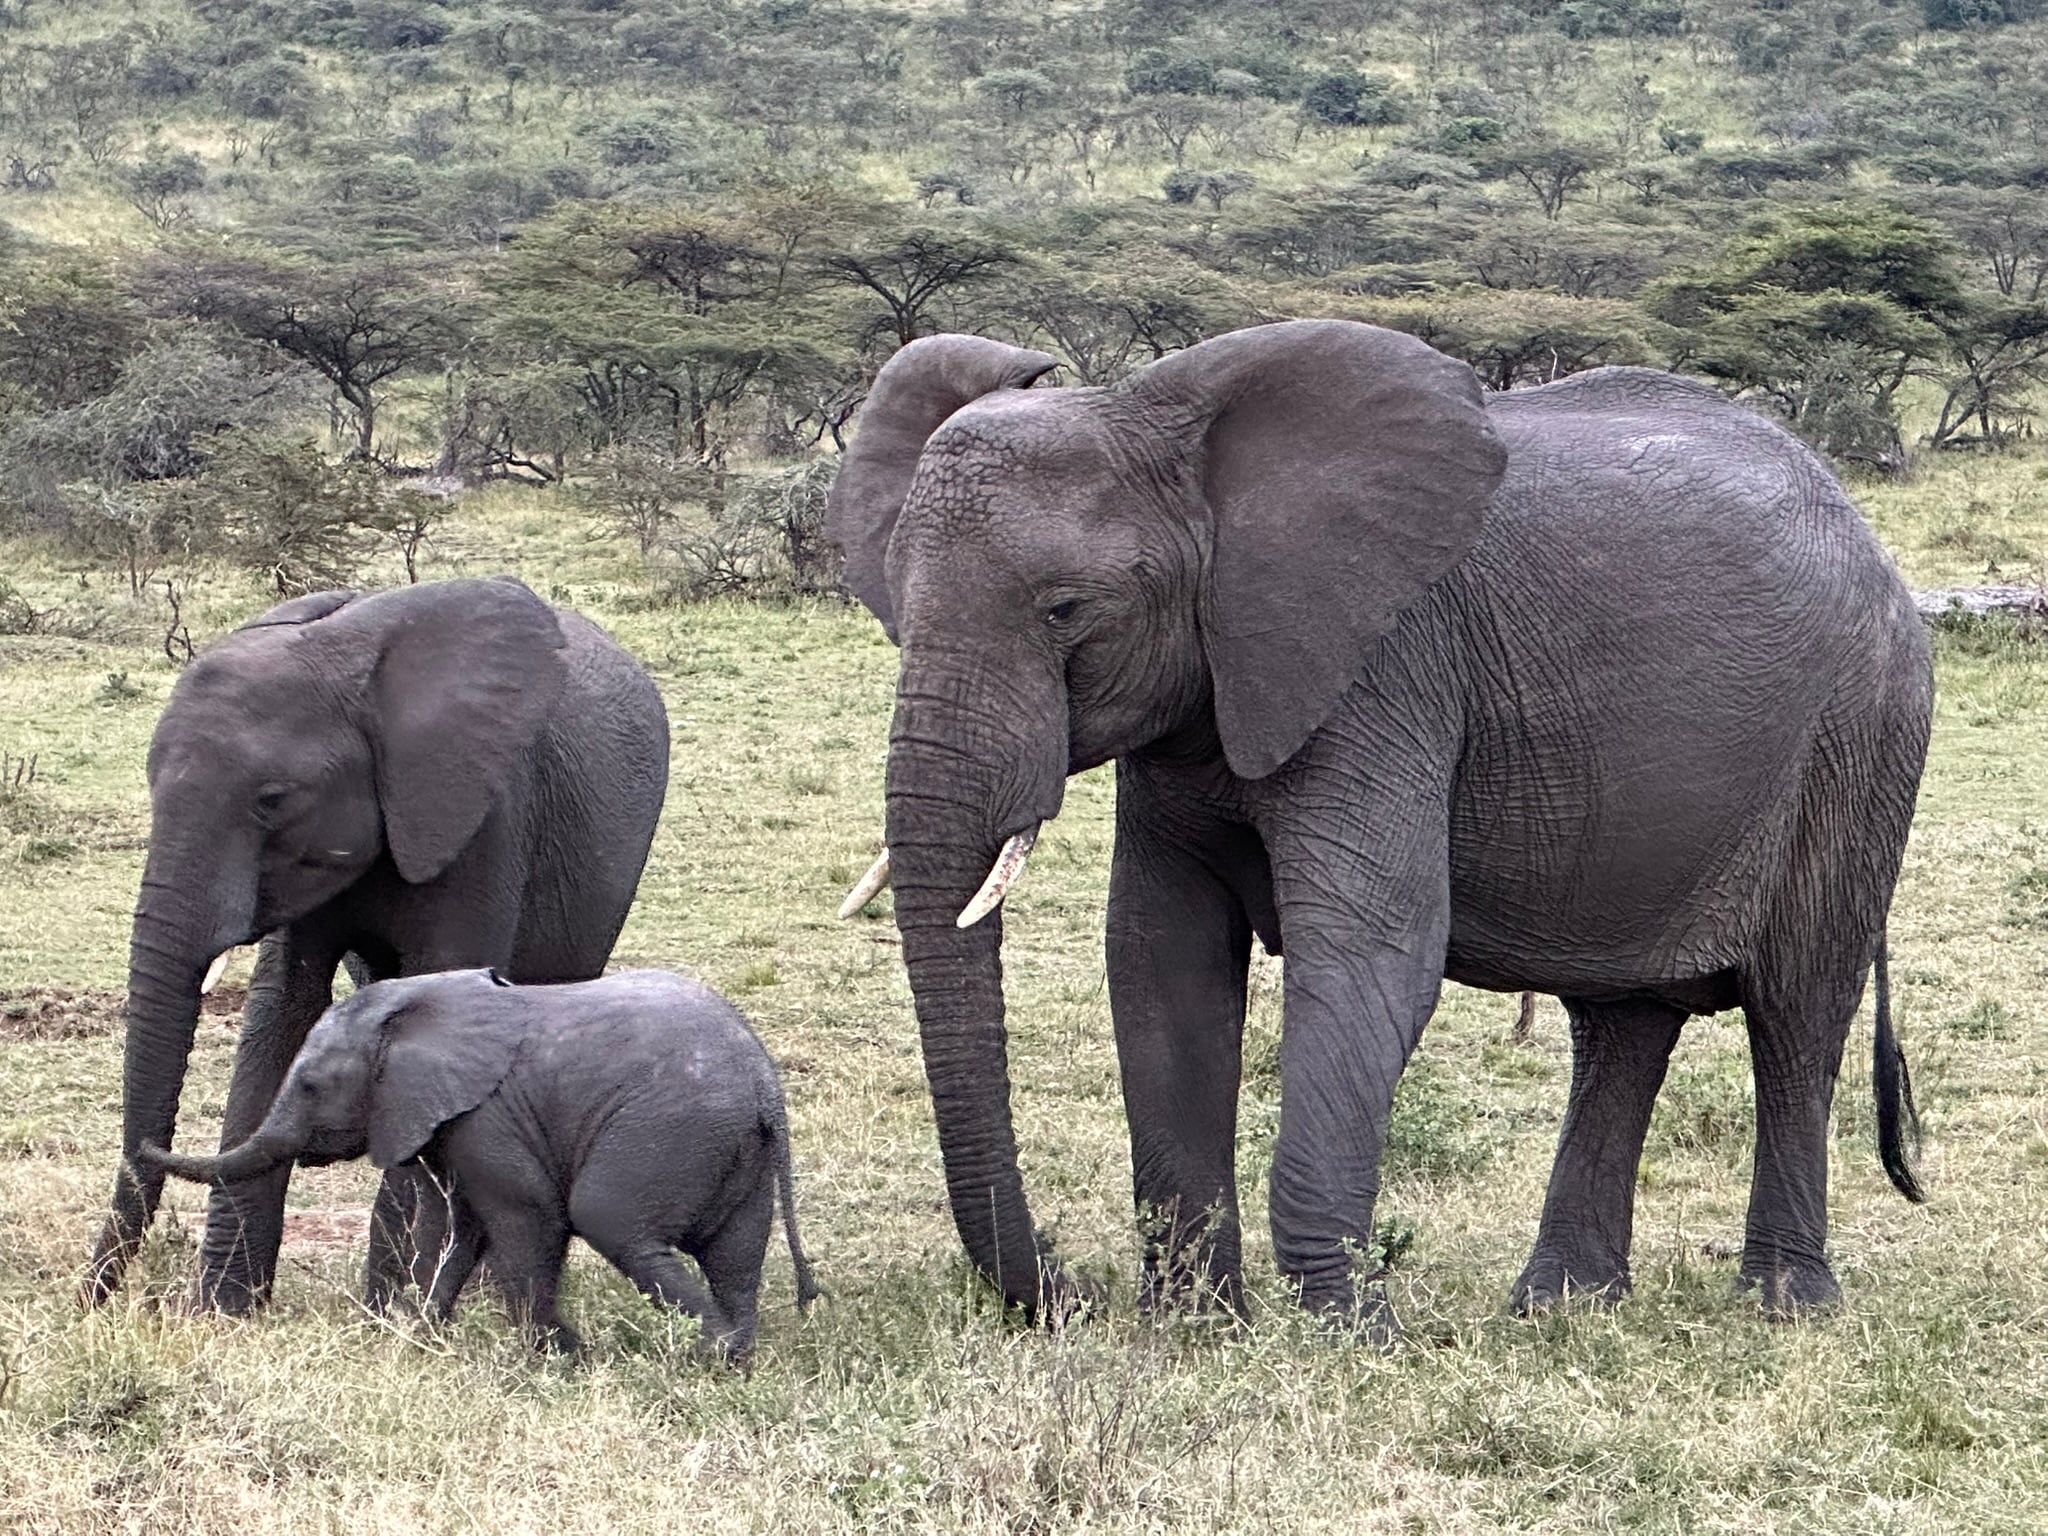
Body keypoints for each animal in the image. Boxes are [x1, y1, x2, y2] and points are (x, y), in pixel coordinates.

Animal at [83, 576, 670, 1316]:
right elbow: (281, 1010)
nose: (91, 1303)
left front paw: (391, 1313)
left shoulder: (484, 816)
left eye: (272, 800)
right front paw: (225, 1313)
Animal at [136, 968, 820, 1358]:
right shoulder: (454, 1124)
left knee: (613, 1221)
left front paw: (554, 1358)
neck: (414, 1011)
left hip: (668, 1129)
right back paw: (734, 1361)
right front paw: (422, 1342)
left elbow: (528, 1220)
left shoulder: (486, 1117)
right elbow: (462, 1230)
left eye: (308, 1086)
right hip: (733, 1147)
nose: (141, 1148)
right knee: (737, 1256)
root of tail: (765, 1085)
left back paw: (706, 1352)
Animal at [823, 319, 1932, 1327]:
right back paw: (1561, 1310)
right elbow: (1160, 958)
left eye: (1065, 611)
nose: (1067, 1294)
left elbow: (1368, 954)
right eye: (895, 601)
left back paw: (1784, 1308)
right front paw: (1195, 1328)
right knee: (1621, 1025)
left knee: (1795, 1010)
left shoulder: (1385, 670)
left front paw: (1345, 1333)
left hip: (1860, 733)